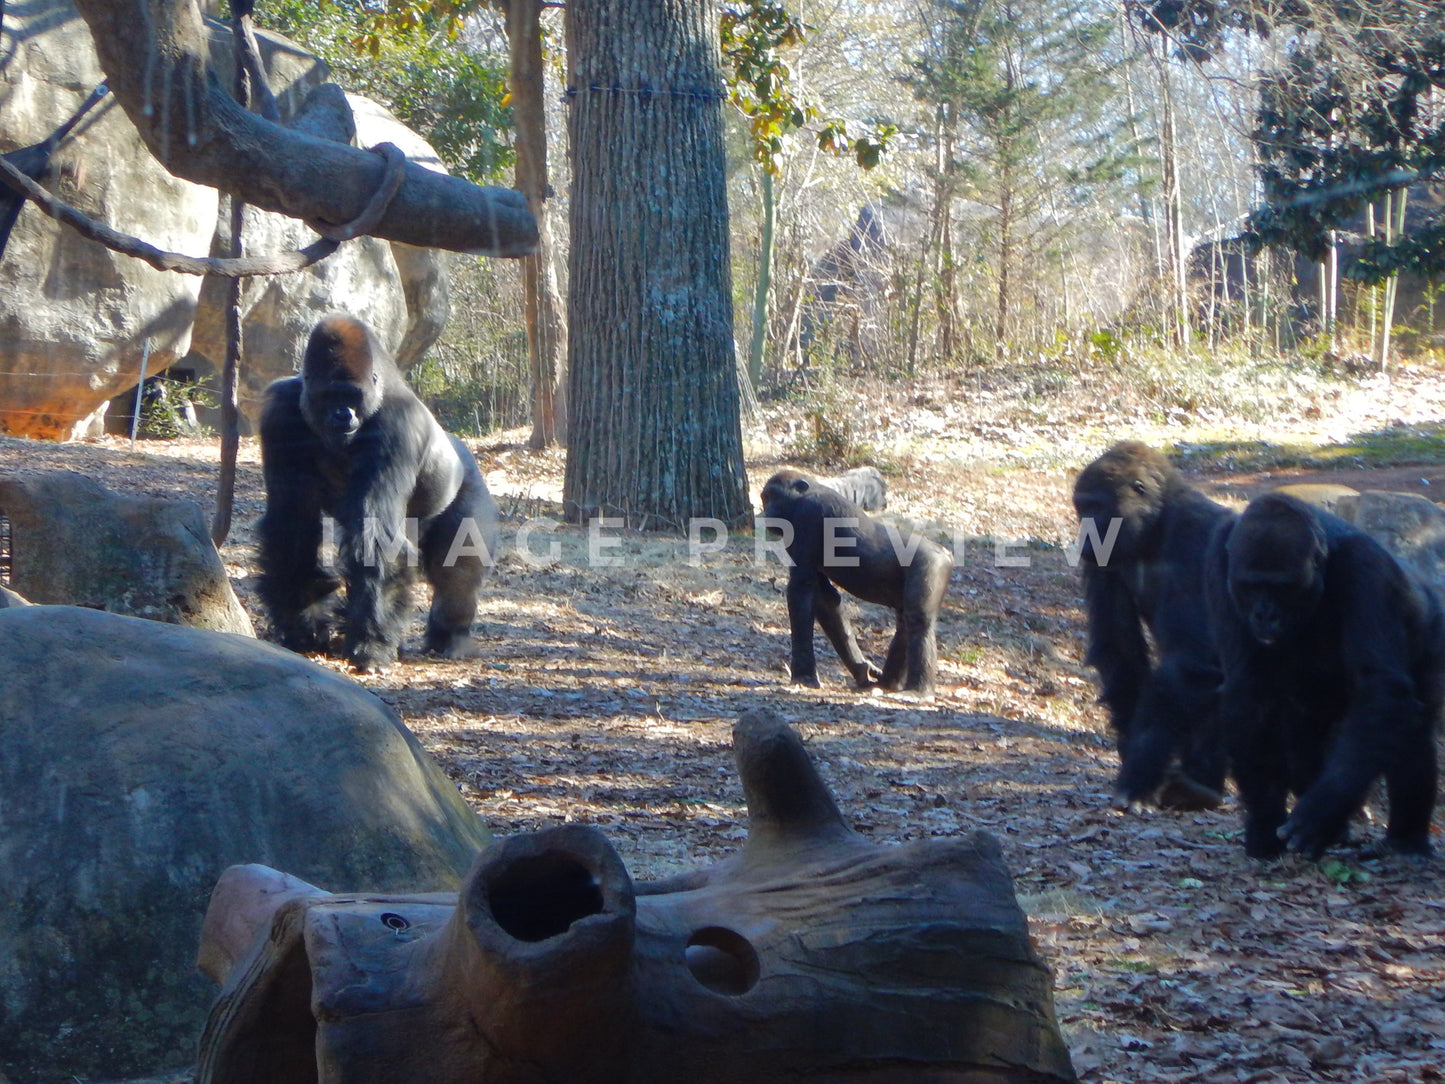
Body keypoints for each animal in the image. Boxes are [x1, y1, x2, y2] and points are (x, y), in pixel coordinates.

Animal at [260, 312, 502, 670]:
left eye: (352, 396)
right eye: (330, 396)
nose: (343, 415)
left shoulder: (396, 425)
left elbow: (376, 538)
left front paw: (370, 644)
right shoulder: (280, 414)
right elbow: (291, 525)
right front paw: (302, 622)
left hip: (469, 486)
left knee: (457, 576)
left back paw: (450, 637)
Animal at [762, 471, 953, 699]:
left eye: (774, 496)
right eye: (765, 498)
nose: (766, 512)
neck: (805, 493)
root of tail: (946, 553)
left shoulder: (808, 515)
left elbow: (801, 588)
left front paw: (803, 676)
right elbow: (825, 598)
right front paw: (861, 667)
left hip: (933, 563)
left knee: (919, 621)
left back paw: (919, 690)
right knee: (905, 625)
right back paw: (889, 682)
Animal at [1069, 436, 1236, 809]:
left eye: (1096, 508)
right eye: (1081, 508)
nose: (1084, 535)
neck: (1156, 525)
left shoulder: (1194, 538)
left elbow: (1187, 664)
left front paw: (1139, 773)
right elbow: (1120, 650)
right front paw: (1130, 749)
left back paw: (1200, 788)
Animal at [1208, 494, 1445, 867]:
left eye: (1281, 588)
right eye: (1251, 586)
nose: (1264, 615)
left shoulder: (1366, 567)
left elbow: (1379, 687)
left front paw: (1324, 807)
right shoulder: (1220, 559)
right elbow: (1249, 692)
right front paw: (1263, 824)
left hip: (1433, 630)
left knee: (1409, 729)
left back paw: (1406, 840)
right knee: (1303, 736)